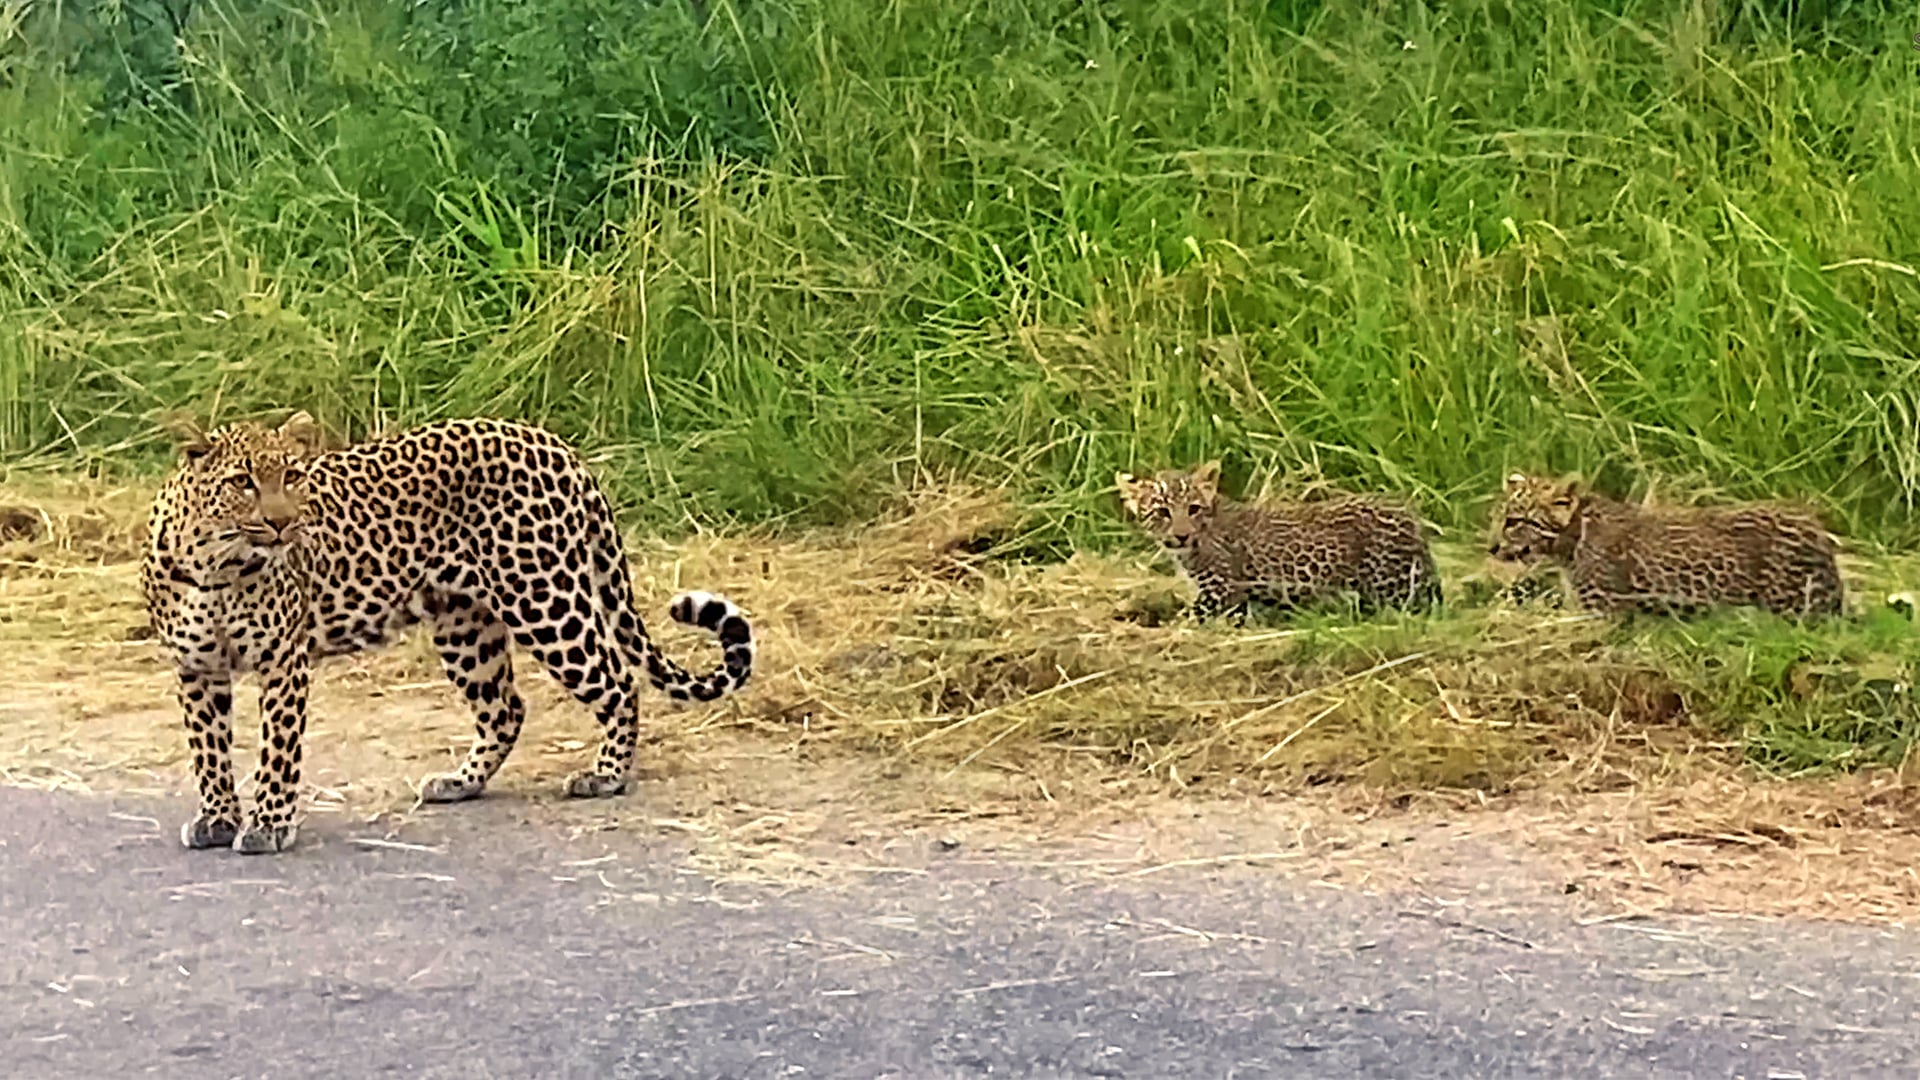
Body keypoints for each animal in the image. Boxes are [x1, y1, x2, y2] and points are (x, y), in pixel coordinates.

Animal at [140, 411, 756, 855]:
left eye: (291, 476)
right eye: (241, 483)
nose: (282, 523)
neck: (217, 568)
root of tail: (556, 445)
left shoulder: (283, 662)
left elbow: (277, 751)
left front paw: (268, 826)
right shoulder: (195, 668)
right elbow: (208, 750)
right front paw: (218, 819)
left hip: (546, 601)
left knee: (617, 682)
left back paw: (605, 777)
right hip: (466, 624)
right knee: (505, 708)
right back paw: (462, 782)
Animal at [1116, 460, 1442, 619]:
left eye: (1193, 509)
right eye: (1162, 512)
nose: (1181, 535)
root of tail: (1412, 519)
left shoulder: (1220, 590)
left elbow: (1186, 615)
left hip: (1394, 586)